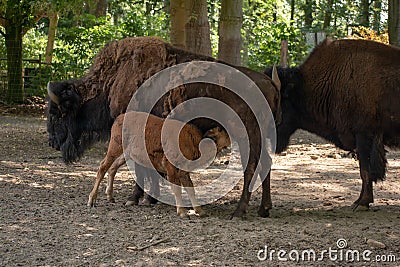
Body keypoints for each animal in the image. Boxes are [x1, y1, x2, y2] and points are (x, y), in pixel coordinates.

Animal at [88, 111, 230, 218]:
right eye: (221, 129)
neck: (193, 139)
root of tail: (120, 117)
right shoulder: (171, 168)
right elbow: (177, 189)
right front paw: (182, 212)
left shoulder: (183, 171)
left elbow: (190, 188)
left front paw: (200, 211)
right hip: (115, 147)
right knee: (103, 167)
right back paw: (92, 200)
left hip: (125, 154)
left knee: (113, 168)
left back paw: (110, 196)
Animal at [266, 38, 400, 210]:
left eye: (276, 101)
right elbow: (365, 170)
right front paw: (359, 201)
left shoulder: (363, 135)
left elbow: (365, 170)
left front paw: (362, 203)